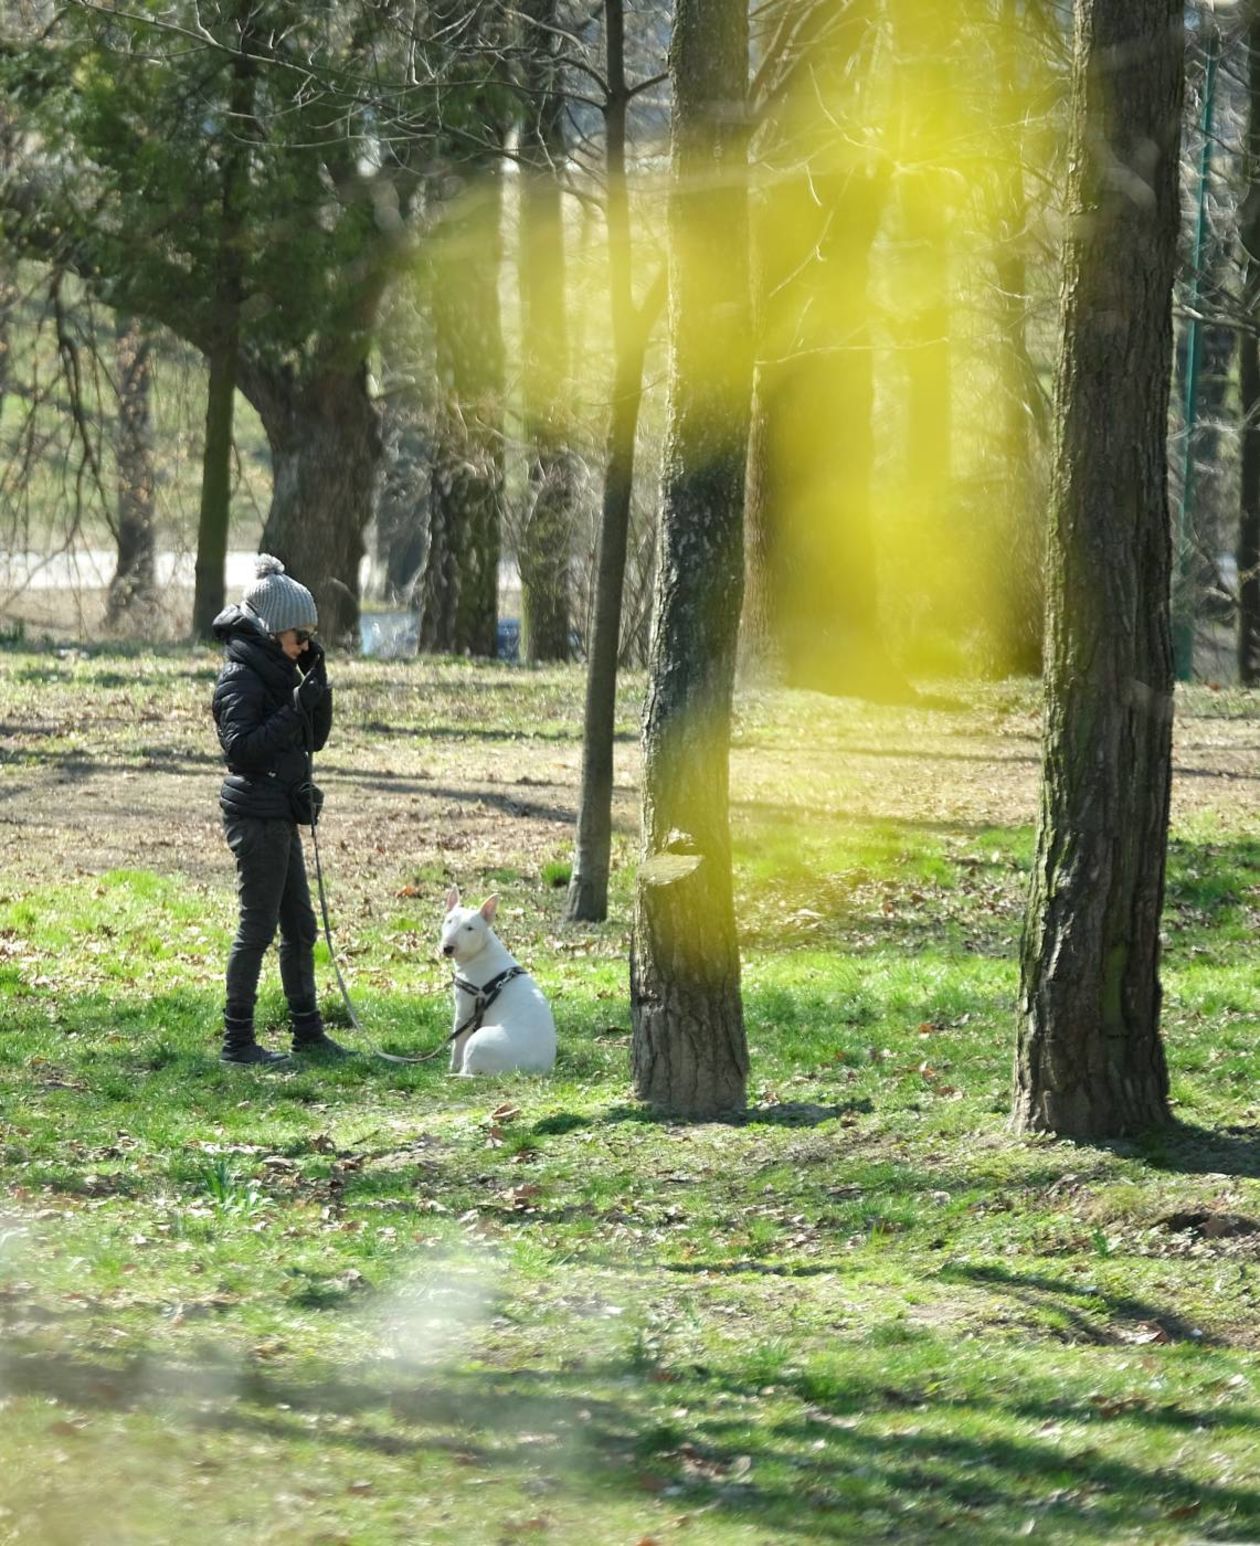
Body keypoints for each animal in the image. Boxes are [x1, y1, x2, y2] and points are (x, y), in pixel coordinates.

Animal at [442, 896, 556, 1076]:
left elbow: (457, 1041)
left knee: (469, 1070)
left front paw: (452, 1064)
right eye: (449, 921)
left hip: (479, 1039)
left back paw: (453, 1074)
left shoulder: (465, 1010)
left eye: (470, 928)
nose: (447, 948)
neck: (482, 950)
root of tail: (533, 1071)